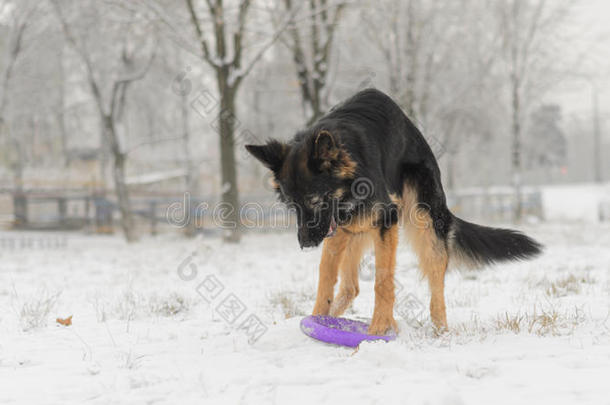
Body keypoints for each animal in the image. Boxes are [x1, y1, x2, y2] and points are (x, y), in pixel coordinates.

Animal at [245, 89, 540, 334]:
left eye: (316, 201)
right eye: (291, 205)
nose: (305, 244)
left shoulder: (386, 221)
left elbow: (383, 281)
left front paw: (378, 329)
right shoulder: (338, 229)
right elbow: (326, 274)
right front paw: (317, 317)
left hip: (424, 223)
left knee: (436, 282)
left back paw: (440, 331)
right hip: (353, 231)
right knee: (350, 286)